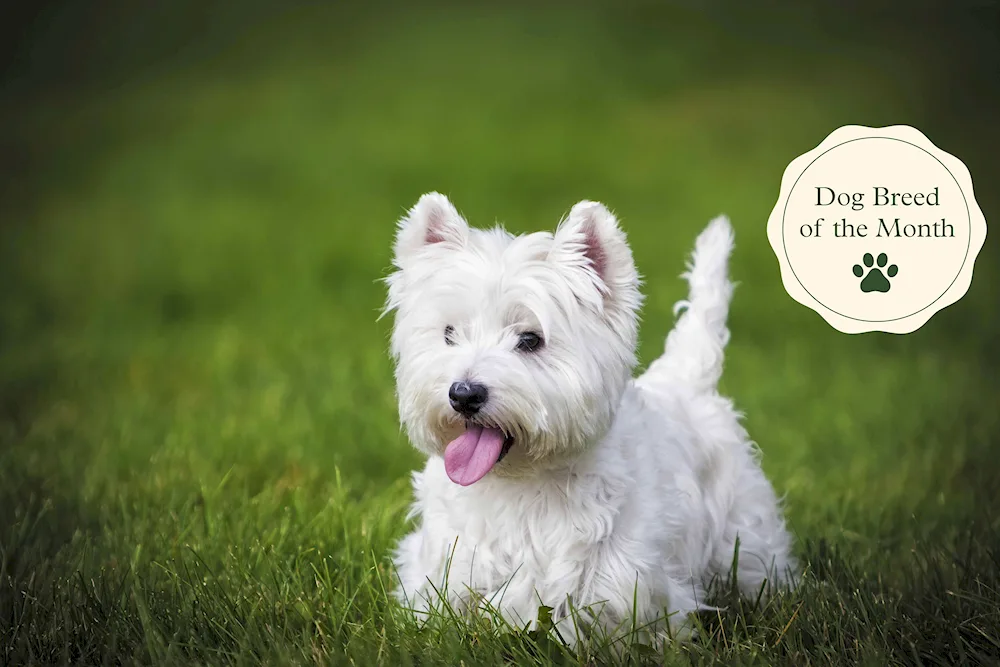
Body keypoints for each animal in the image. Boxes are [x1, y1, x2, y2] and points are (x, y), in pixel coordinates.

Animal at [382, 193, 796, 648]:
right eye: (449, 333)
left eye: (530, 340)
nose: (463, 394)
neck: (520, 484)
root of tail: (687, 379)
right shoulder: (448, 567)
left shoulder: (624, 583)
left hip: (744, 529)